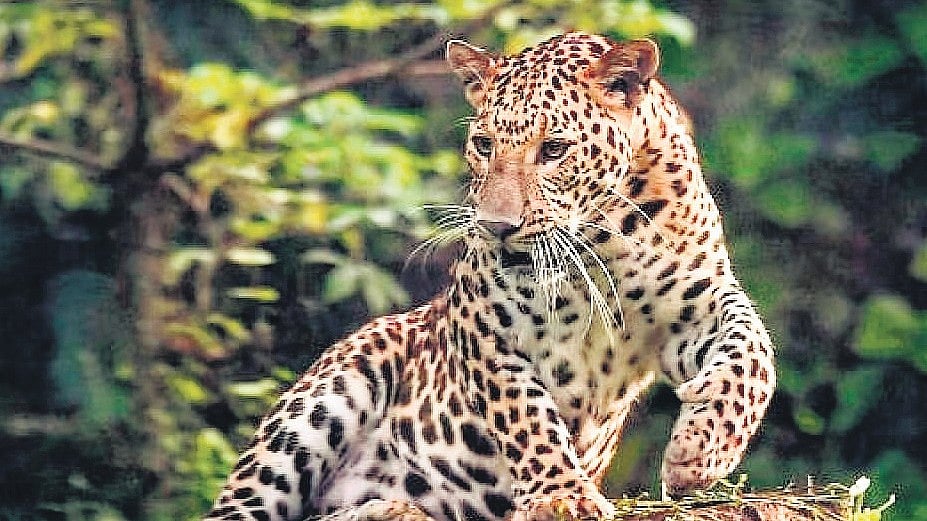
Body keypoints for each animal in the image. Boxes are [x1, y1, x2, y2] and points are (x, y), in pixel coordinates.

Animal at [204, 32, 776, 521]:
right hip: (335, 387)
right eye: (483, 145)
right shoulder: (484, 327)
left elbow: (754, 353)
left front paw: (699, 450)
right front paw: (561, 496)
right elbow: (524, 413)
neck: (601, 243)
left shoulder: (700, 302)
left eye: (553, 150)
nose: (498, 227)